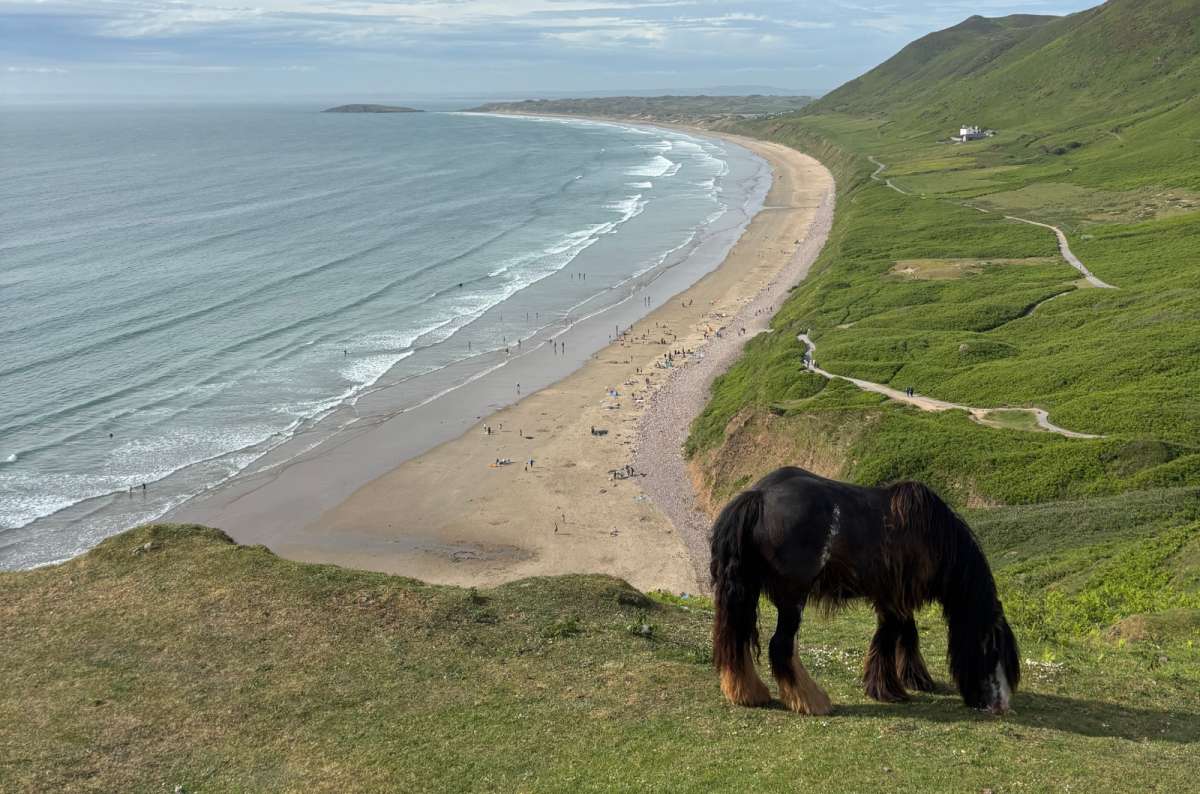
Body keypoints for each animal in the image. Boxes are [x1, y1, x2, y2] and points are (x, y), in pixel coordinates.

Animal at [710, 466, 1019, 715]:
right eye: (993, 652)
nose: (1001, 706)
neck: (931, 535)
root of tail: (759, 496)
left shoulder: (894, 597)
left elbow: (907, 635)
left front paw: (916, 680)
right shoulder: (895, 599)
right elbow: (889, 637)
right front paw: (888, 690)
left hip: (748, 591)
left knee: (737, 639)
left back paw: (748, 694)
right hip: (792, 600)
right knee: (781, 646)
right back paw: (813, 702)